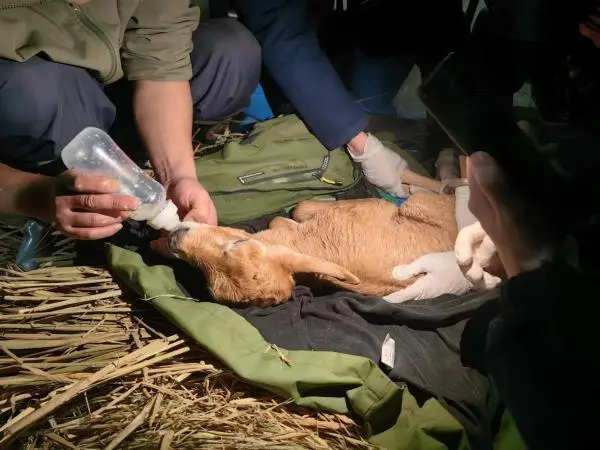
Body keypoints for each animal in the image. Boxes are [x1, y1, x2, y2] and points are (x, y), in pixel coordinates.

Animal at [166, 192, 458, 308]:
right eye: (205, 275)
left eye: (239, 244)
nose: (175, 241)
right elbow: (295, 211)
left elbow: (300, 206)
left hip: (422, 200)